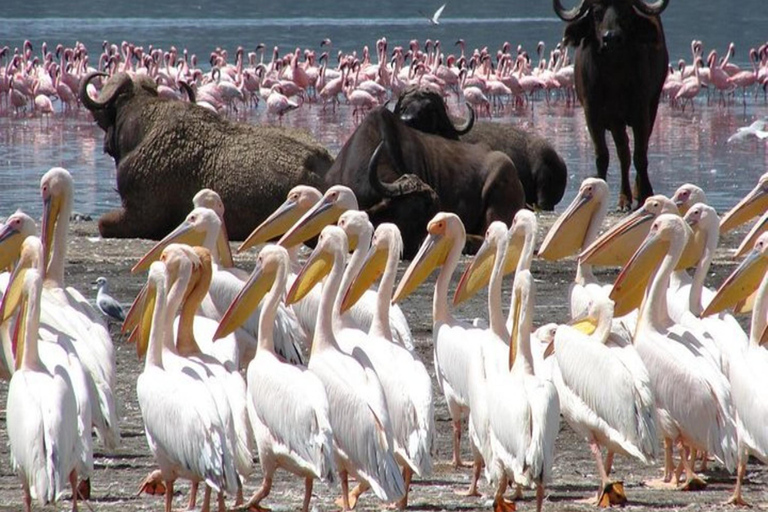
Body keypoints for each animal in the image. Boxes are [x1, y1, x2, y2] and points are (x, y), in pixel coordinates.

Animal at [556, 0, 668, 210]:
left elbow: (640, 155)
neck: (614, 77)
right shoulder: (593, 114)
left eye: (625, 12)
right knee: (623, 152)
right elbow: (604, 155)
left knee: (639, 150)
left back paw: (636, 191)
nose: (611, 38)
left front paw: (645, 193)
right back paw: (624, 197)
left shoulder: (641, 112)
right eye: (596, 12)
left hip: (653, 104)